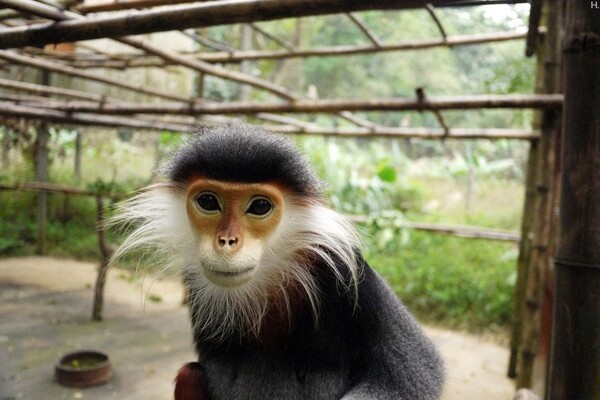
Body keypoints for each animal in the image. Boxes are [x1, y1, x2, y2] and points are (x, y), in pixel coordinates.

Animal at [110, 123, 442, 398]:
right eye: (208, 201)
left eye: (259, 206)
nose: (227, 241)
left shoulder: (343, 270)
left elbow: (415, 374)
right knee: (189, 374)